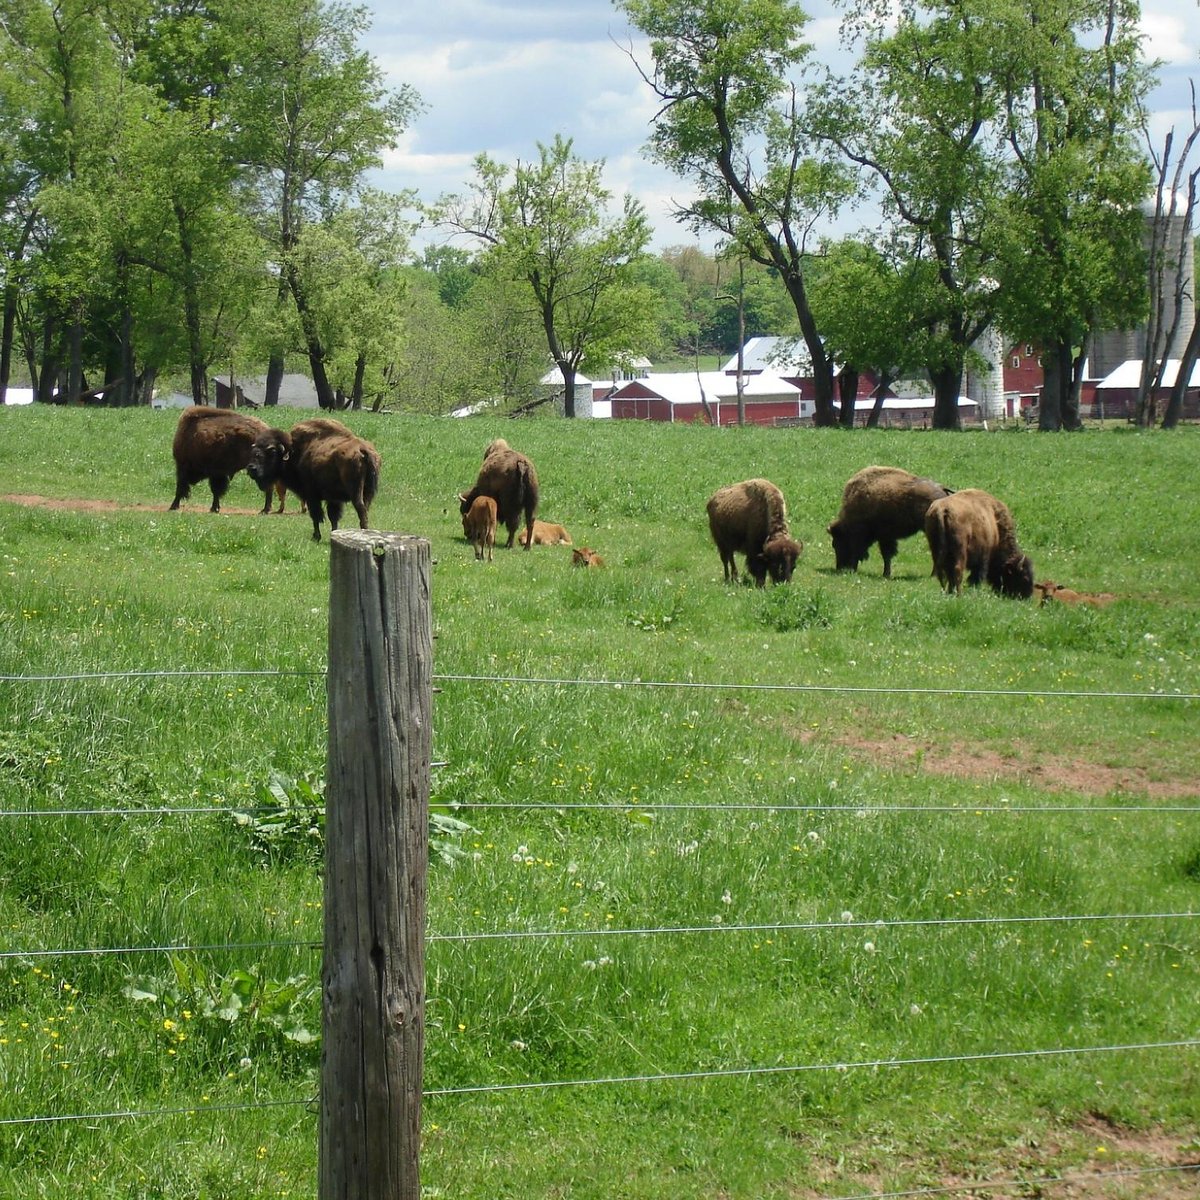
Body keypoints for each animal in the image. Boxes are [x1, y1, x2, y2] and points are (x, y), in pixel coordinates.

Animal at [241, 422, 376, 544]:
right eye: (254, 451)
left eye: (272, 452)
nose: (251, 468)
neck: (295, 452)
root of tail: (362, 450)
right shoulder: (333, 499)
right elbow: (333, 517)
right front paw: (333, 534)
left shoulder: (311, 496)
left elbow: (316, 516)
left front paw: (316, 537)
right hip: (368, 493)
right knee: (365, 510)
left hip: (356, 492)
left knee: (361, 510)